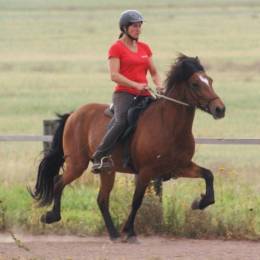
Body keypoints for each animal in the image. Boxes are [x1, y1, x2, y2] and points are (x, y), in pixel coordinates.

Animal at [30, 54, 225, 242]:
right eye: (195, 84)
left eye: (210, 80)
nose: (220, 109)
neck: (169, 125)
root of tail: (73, 114)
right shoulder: (146, 171)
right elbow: (136, 201)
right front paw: (129, 231)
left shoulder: (180, 167)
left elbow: (209, 175)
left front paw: (200, 202)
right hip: (77, 164)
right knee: (59, 182)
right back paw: (51, 216)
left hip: (107, 171)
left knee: (101, 199)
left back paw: (113, 234)